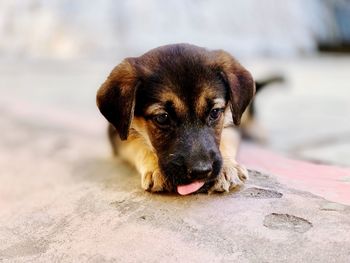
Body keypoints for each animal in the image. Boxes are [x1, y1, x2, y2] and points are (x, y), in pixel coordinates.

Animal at [97, 43, 256, 196]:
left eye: (215, 112)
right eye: (162, 118)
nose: (201, 172)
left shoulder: (232, 122)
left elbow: (226, 138)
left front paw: (227, 168)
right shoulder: (118, 133)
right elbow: (136, 141)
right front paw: (155, 169)